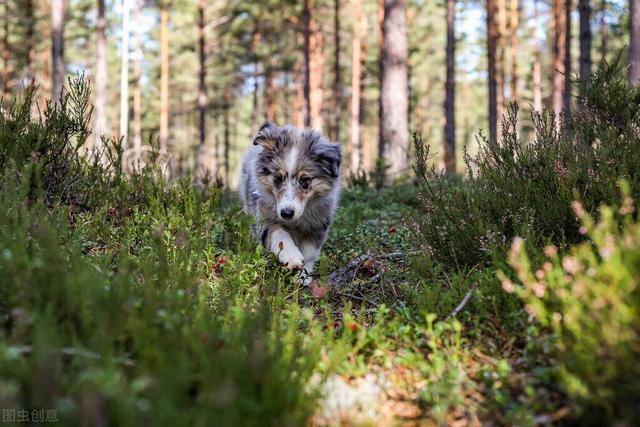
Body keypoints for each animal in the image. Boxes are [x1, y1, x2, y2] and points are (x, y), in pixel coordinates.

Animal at [239, 122, 340, 282]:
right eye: (278, 178)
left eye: (304, 180)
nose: (286, 213)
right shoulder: (264, 218)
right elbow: (279, 235)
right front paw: (291, 258)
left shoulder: (317, 226)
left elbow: (309, 254)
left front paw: (303, 278)